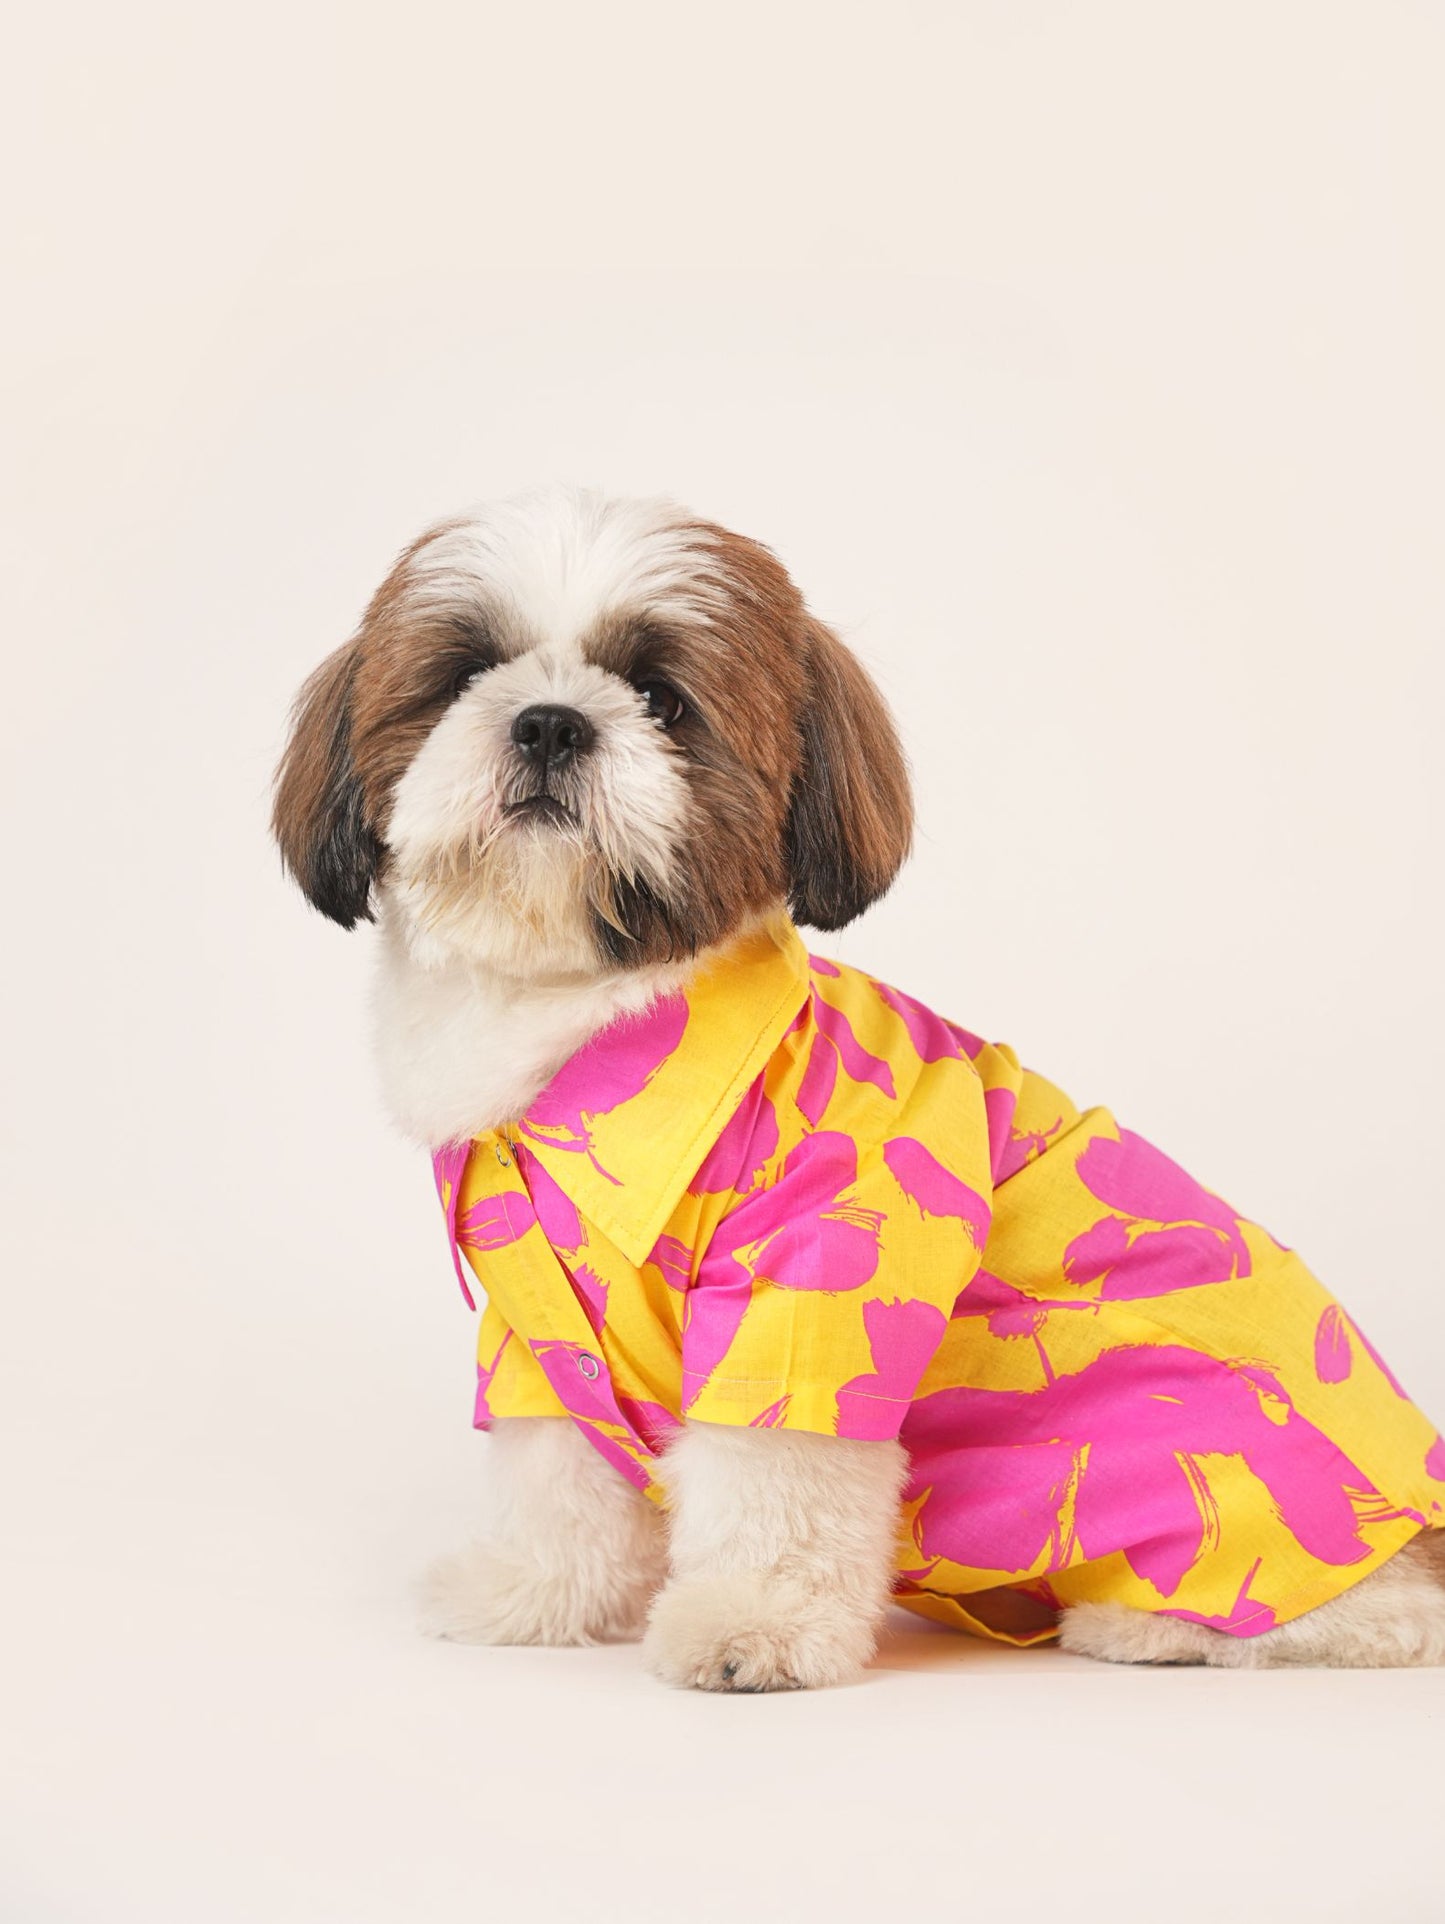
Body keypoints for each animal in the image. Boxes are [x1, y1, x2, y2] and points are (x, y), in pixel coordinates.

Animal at [273, 488, 1445, 1693]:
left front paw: (753, 1626)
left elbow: (774, 1477)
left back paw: (1167, 1628)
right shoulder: (534, 1332)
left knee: (1386, 1612)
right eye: (465, 673)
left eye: (662, 699)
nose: (549, 722)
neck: (583, 1013)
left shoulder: (811, 1277)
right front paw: (534, 1596)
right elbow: (558, 1476)